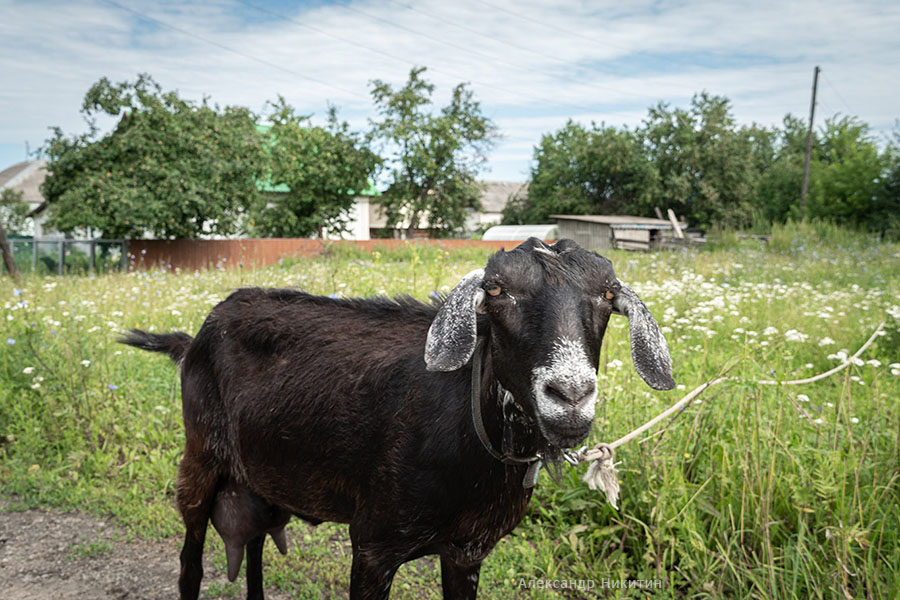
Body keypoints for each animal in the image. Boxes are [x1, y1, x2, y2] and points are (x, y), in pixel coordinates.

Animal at [120, 237, 674, 600]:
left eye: (608, 295)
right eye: (496, 291)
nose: (570, 395)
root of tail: (196, 335)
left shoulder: (468, 551)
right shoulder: (372, 545)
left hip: (261, 476)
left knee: (253, 546)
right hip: (200, 459)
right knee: (190, 563)